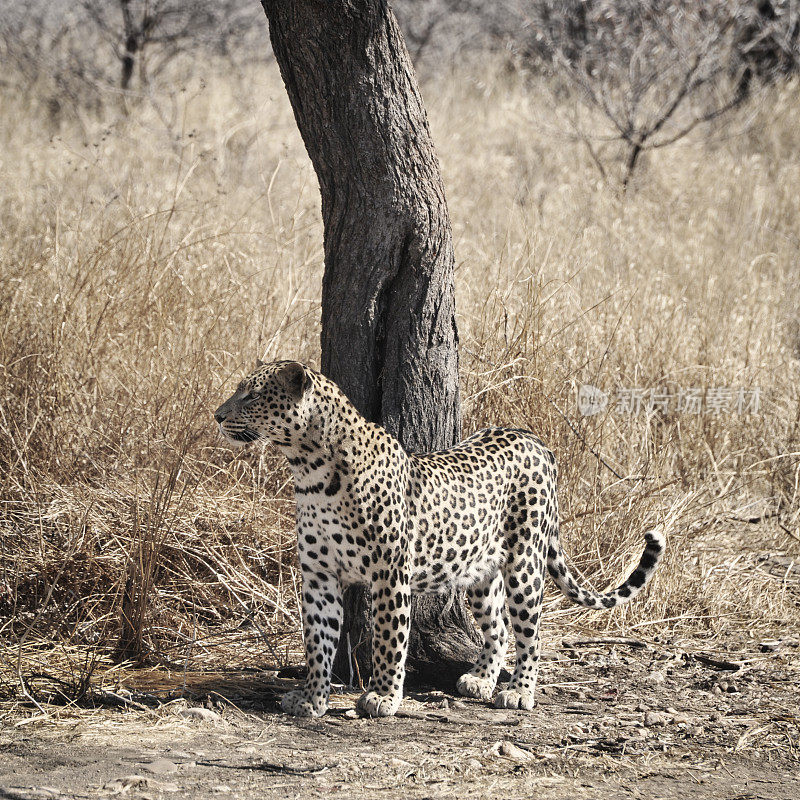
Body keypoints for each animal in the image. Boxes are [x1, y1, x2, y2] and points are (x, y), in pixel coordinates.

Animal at [214, 362, 668, 720]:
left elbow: (388, 639)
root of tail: (535, 439)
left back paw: (519, 691)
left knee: (531, 632)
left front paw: (382, 697)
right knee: (499, 628)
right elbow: (318, 641)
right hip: (480, 573)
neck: (310, 471)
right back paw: (481, 680)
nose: (217, 416)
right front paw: (312, 698)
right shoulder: (319, 576)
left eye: (251, 395)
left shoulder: (389, 575)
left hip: (525, 563)